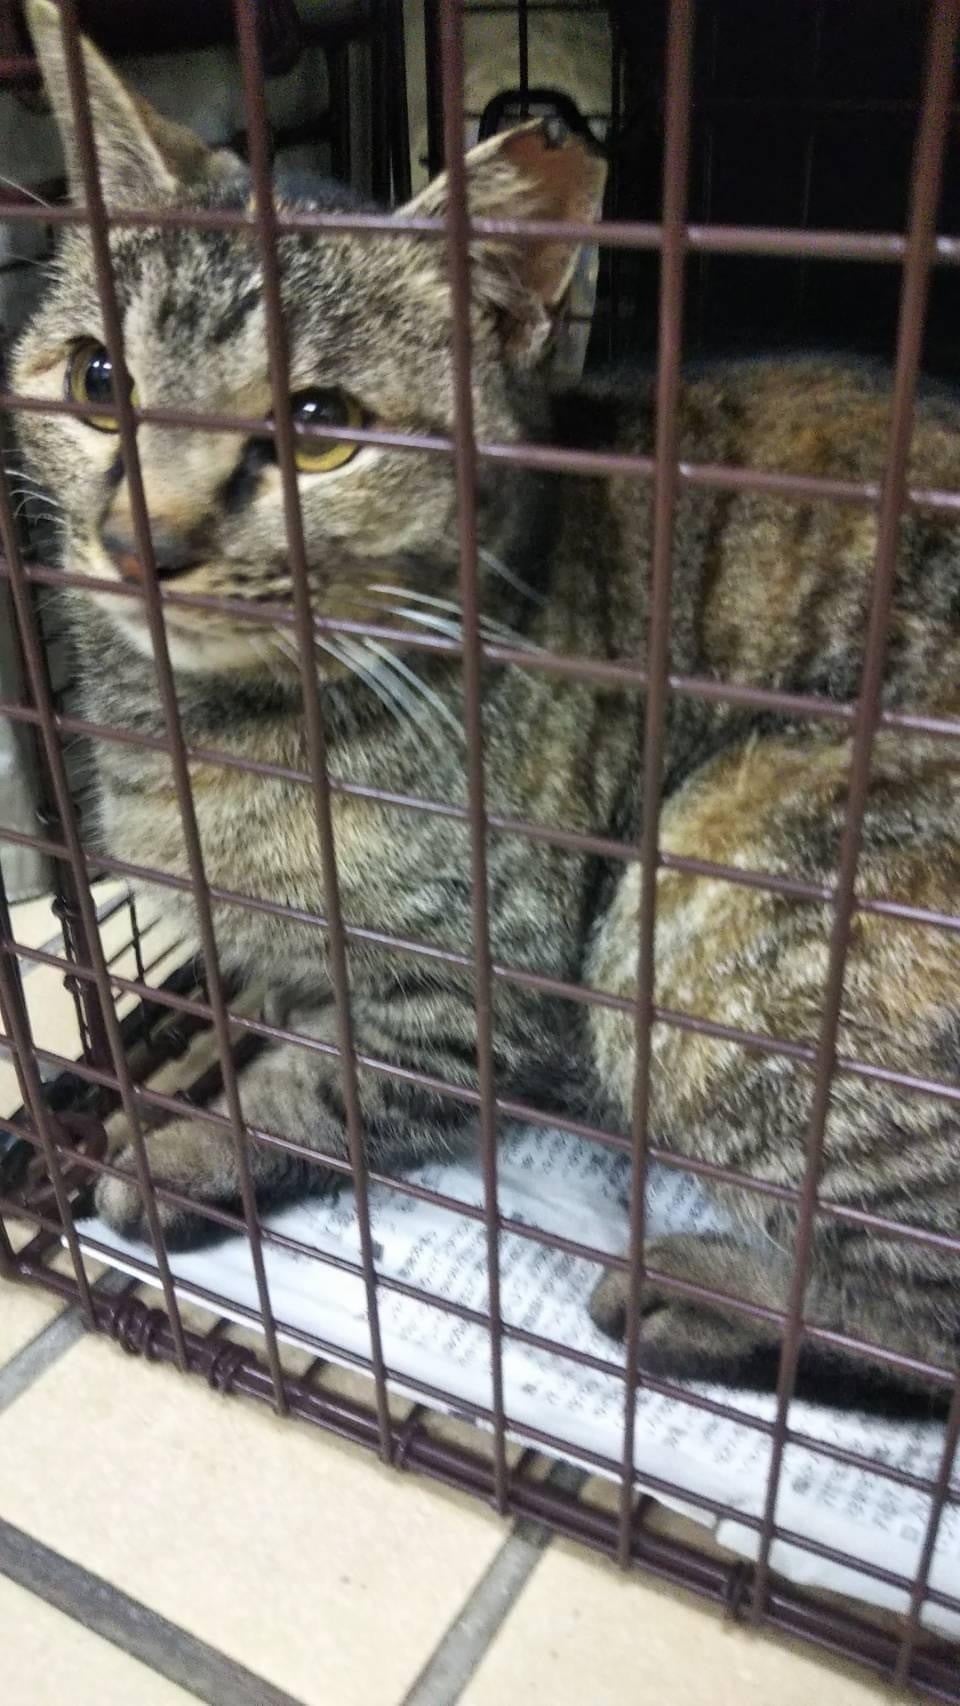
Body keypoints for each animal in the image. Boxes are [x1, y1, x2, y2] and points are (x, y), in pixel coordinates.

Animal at [13, 0, 960, 1407]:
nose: (144, 540)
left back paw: (695, 1297)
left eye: (319, 427)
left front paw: (177, 1152)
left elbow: (323, 1093)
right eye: (93, 380)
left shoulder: (479, 1000)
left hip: (708, 884)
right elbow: (257, 1006)